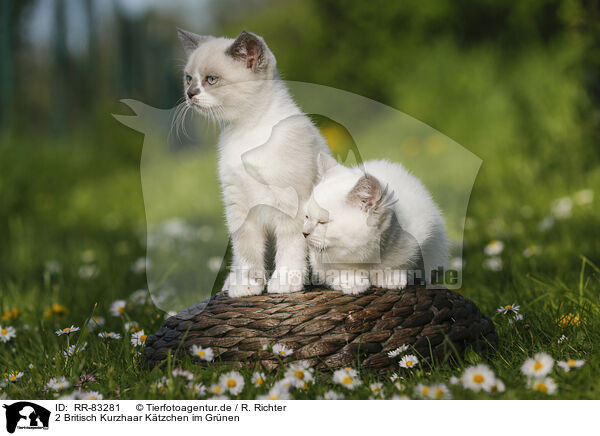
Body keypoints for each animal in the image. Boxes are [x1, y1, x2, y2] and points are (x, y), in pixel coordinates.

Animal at [178, 29, 330, 296]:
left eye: (211, 79)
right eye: (188, 78)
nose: (190, 94)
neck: (246, 132)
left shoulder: (292, 204)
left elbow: (290, 247)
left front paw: (284, 283)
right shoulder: (239, 207)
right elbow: (247, 253)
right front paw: (247, 286)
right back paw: (232, 282)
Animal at [304, 154, 450, 296]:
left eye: (323, 222)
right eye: (306, 217)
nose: (304, 233)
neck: (369, 259)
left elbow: (405, 263)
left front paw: (391, 275)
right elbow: (334, 269)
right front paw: (351, 280)